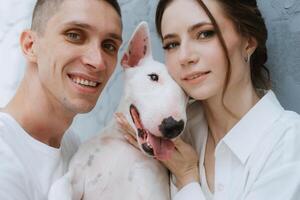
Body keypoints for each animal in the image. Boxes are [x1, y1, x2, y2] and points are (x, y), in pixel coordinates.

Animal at [48, 21, 188, 200]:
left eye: (187, 93)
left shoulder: (153, 190)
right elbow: (60, 185)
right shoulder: (76, 175)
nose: (174, 126)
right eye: (153, 77)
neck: (123, 143)